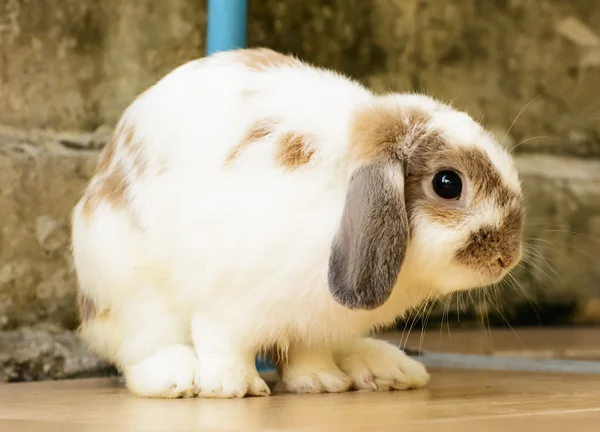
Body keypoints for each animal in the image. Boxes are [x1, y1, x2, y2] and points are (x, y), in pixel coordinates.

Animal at [71, 47, 524, 398]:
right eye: (448, 183)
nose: (508, 257)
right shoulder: (227, 300)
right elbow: (222, 340)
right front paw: (232, 386)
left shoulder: (312, 321)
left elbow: (308, 353)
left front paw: (321, 382)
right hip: (134, 295)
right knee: (141, 350)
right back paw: (177, 377)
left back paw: (385, 368)